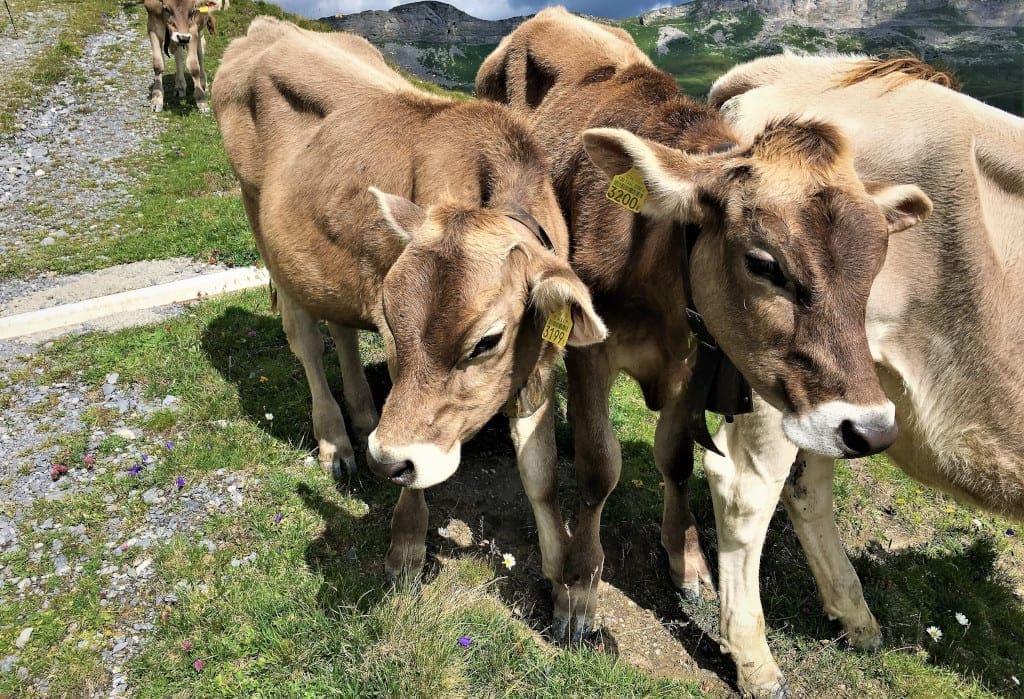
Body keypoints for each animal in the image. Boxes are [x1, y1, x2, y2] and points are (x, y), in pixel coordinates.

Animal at [211, 17, 602, 581]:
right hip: (263, 228)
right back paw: (336, 440)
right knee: (305, 340)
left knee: (341, 330)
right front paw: (407, 545)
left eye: (487, 342)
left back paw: (363, 415)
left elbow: (541, 472)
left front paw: (561, 575)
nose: (384, 459)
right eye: (395, 328)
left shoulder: (542, 361)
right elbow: (415, 482)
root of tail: (268, 27)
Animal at [475, 5, 933, 671]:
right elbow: (599, 467)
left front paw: (685, 555)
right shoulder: (591, 350)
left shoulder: (694, 360)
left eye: (876, 267)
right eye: (764, 264)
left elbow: (675, 456)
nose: (869, 429)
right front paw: (579, 593)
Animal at [700, 51, 1024, 695]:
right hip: (775, 374)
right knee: (745, 489)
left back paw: (856, 618)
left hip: (838, 390)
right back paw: (754, 659)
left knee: (806, 486)